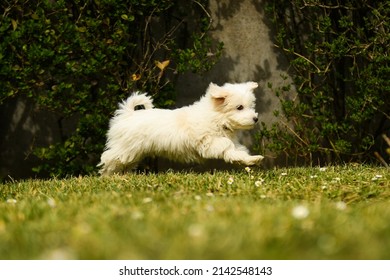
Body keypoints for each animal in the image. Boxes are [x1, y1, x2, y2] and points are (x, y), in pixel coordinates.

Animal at [97, 80, 264, 175]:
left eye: (251, 106)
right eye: (239, 107)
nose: (255, 118)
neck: (217, 117)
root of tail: (128, 114)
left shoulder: (228, 144)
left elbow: (236, 152)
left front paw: (252, 160)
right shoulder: (206, 141)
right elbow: (226, 144)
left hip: (133, 152)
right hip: (125, 148)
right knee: (109, 158)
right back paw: (107, 175)